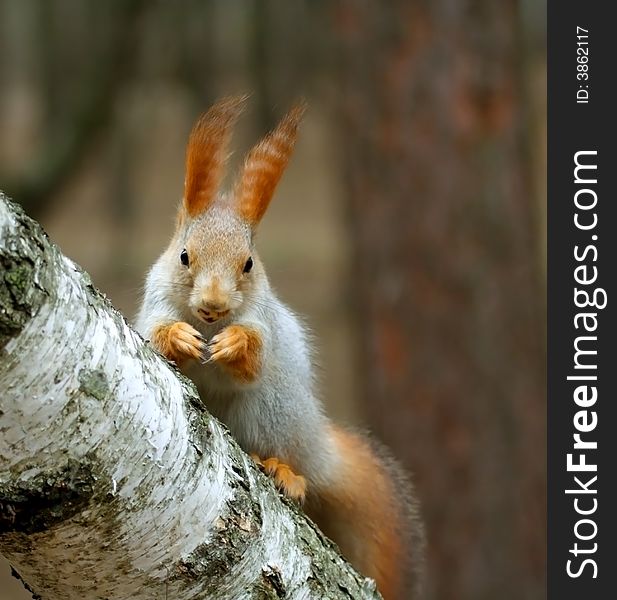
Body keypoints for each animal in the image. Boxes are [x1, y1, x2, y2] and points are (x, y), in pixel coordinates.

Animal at [136, 96, 424, 596]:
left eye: (249, 264)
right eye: (184, 256)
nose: (213, 305)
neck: (210, 323)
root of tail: (317, 443)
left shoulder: (264, 322)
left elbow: (253, 355)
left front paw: (234, 344)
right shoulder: (152, 306)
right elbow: (155, 334)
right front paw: (179, 337)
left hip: (272, 411)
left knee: (294, 463)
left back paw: (284, 470)